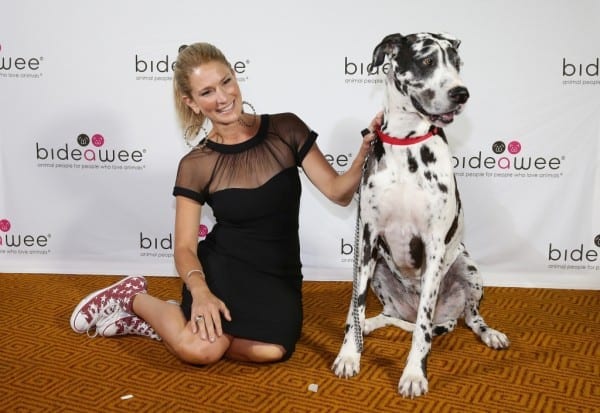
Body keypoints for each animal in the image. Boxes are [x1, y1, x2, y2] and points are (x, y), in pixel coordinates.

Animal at [336, 33, 508, 398]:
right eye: (427, 61)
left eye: (457, 64)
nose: (461, 93)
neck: (405, 142)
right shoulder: (367, 239)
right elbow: (356, 305)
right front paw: (349, 355)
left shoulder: (433, 245)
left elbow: (422, 331)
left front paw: (414, 374)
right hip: (380, 271)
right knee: (388, 314)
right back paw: (369, 324)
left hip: (468, 269)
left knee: (468, 318)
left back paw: (490, 333)